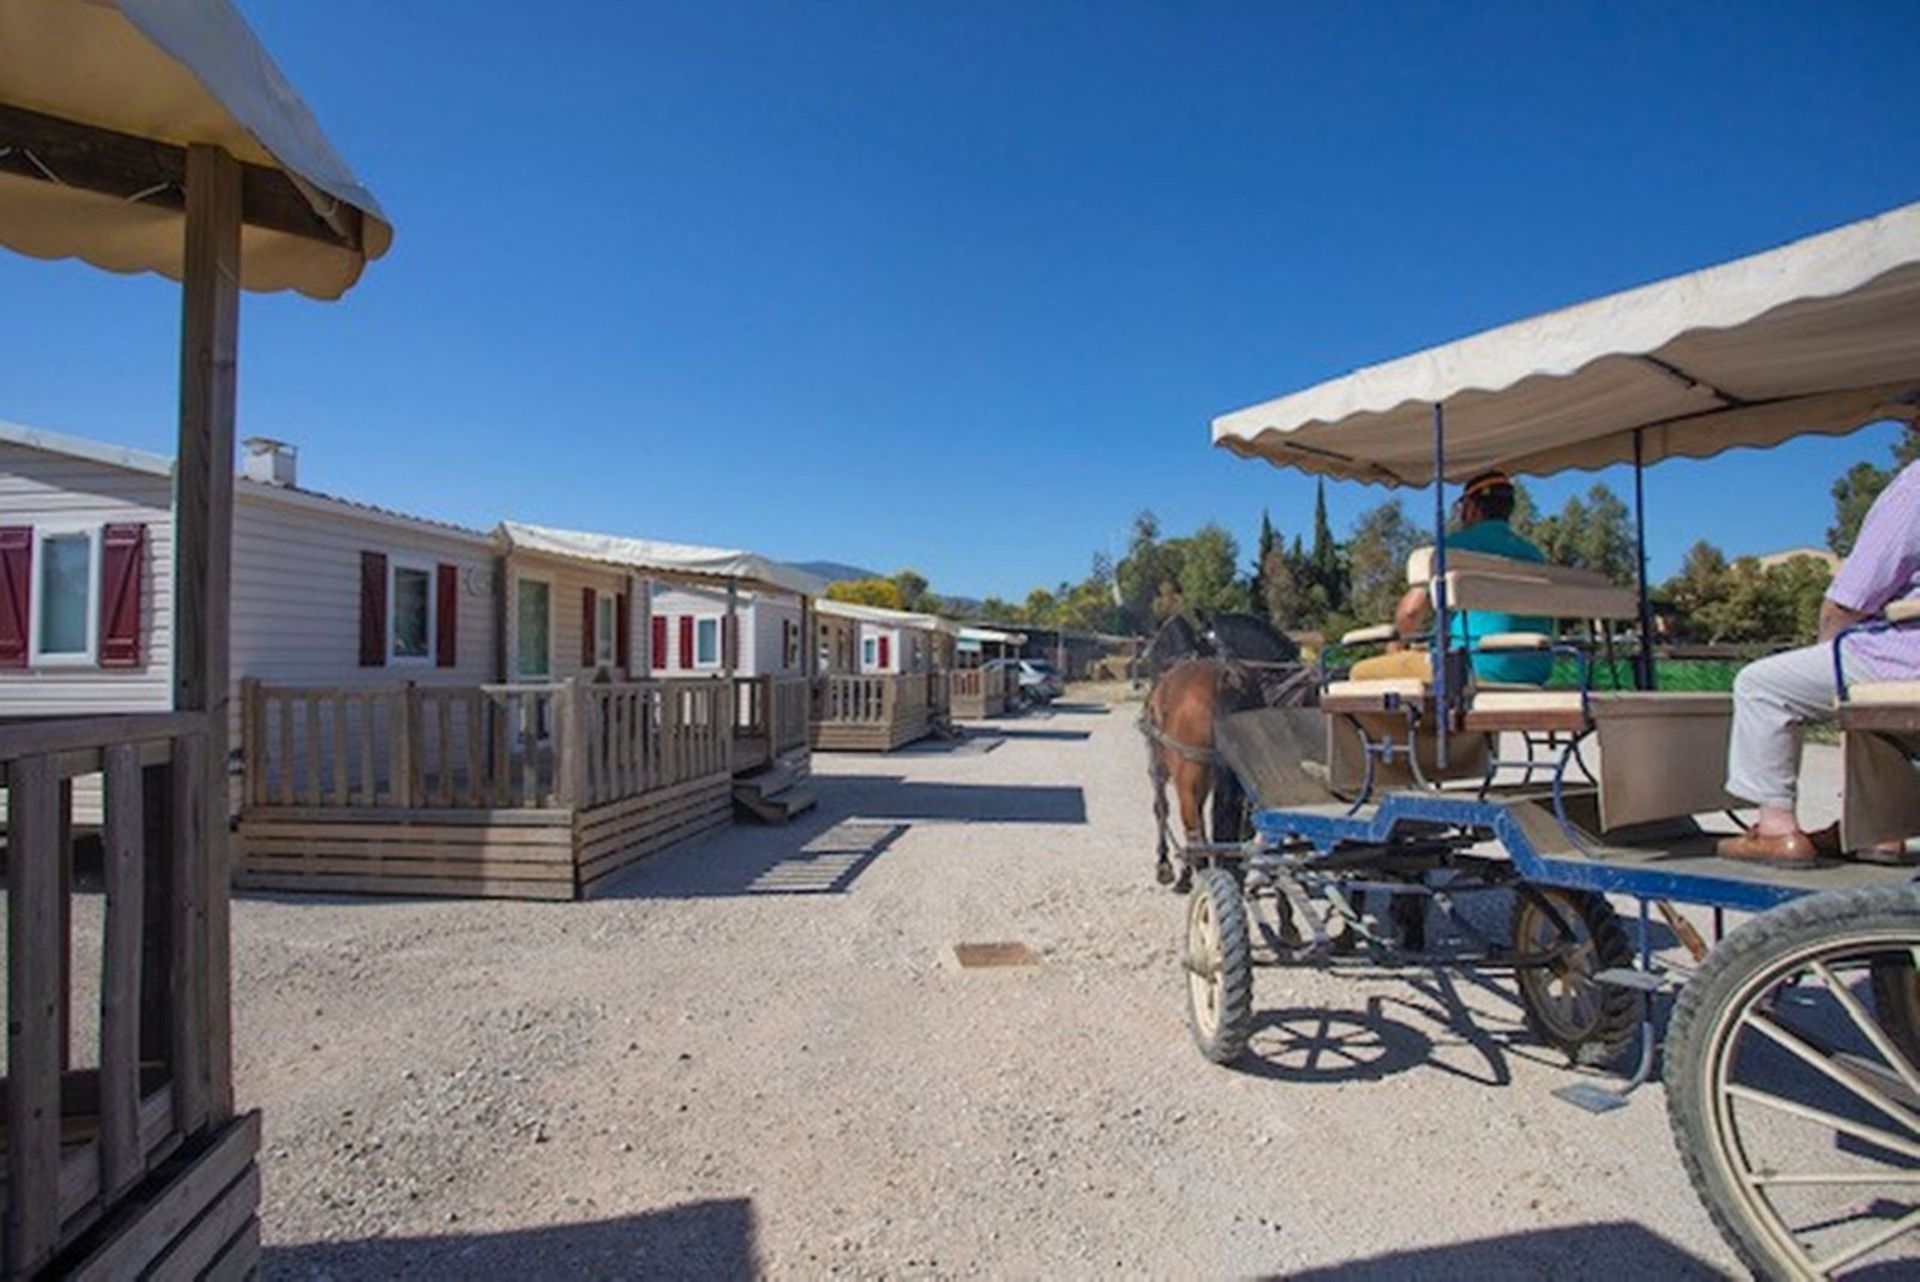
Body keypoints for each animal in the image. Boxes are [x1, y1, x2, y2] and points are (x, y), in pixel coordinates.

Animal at [1144, 610, 1313, 890]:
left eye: (1160, 642)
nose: (1144, 658)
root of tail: (1227, 680)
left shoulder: (1159, 768)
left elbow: (1161, 809)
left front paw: (1166, 867)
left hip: (1189, 779)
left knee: (1195, 833)